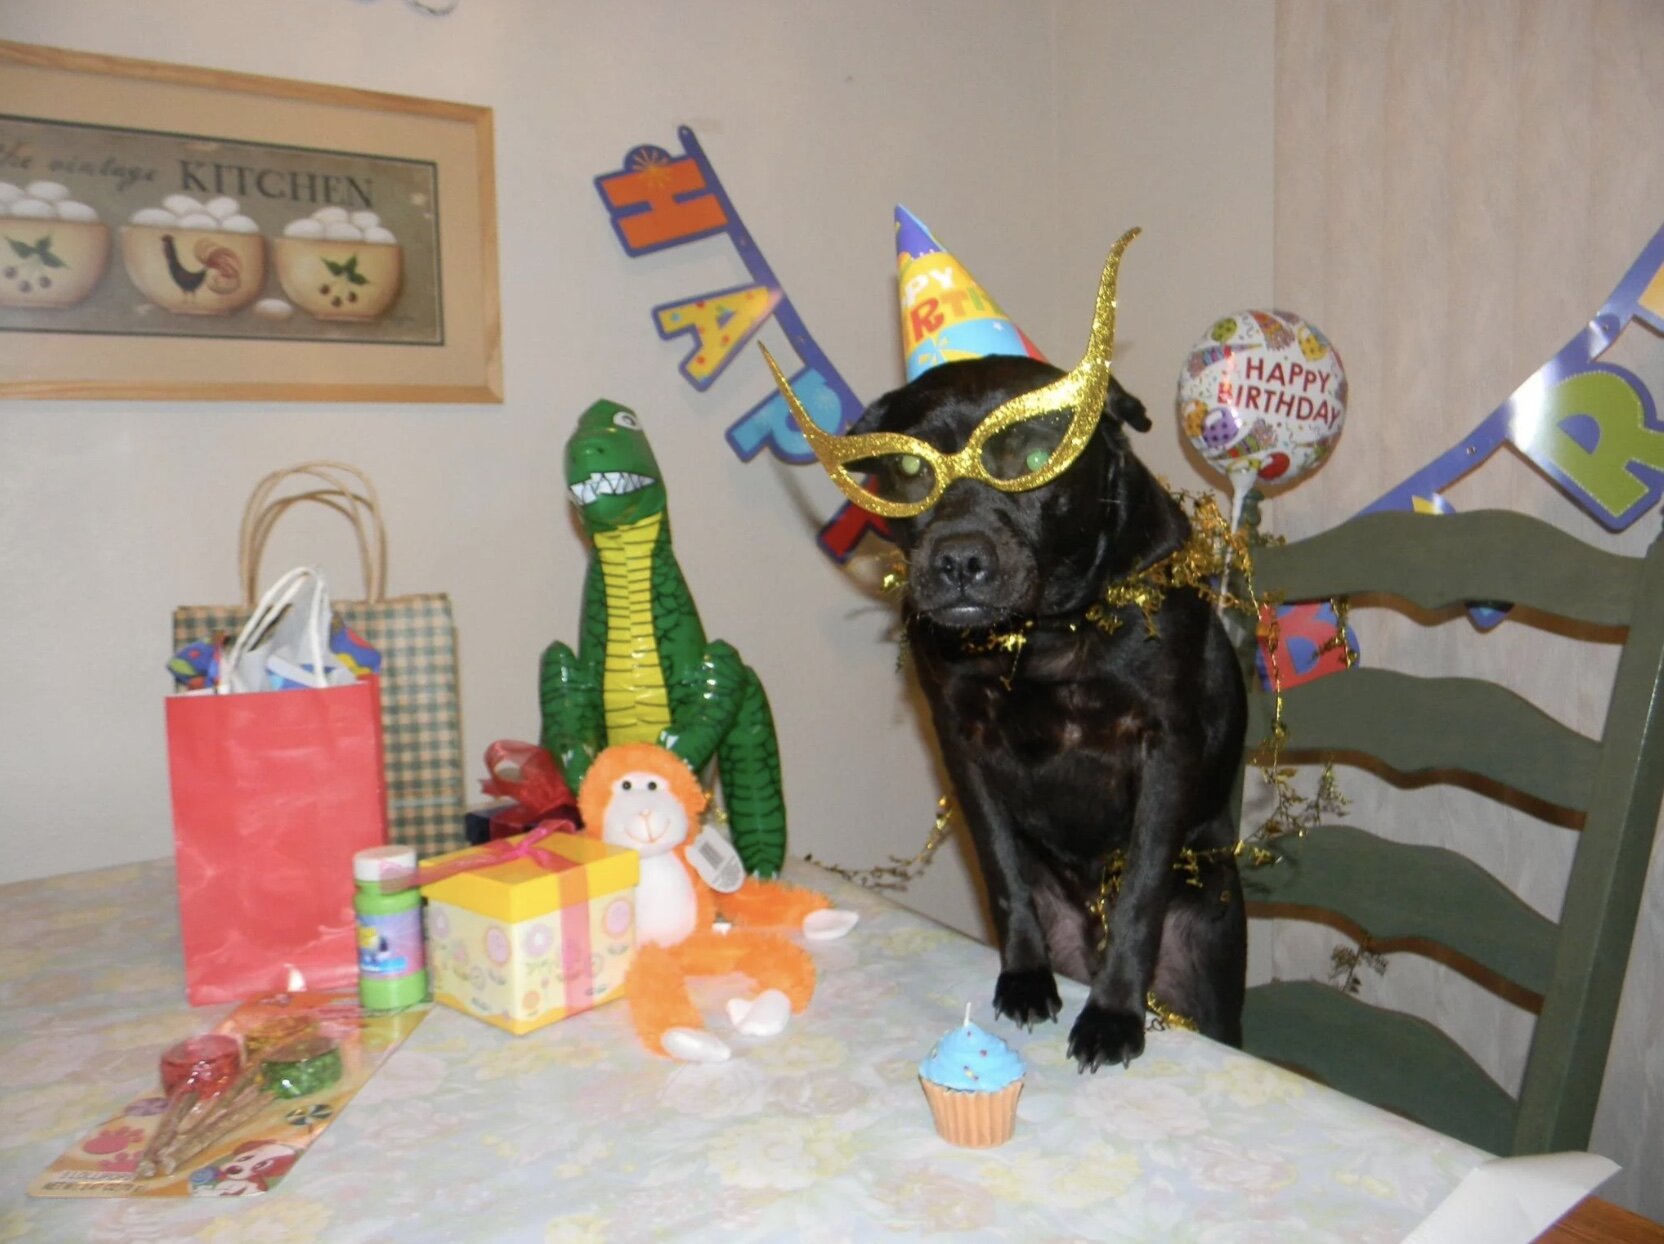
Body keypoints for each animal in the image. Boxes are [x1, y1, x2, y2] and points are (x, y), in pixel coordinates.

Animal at [847, 353, 1248, 1071]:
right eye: (911, 468)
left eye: (1036, 457)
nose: (958, 560)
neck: (1044, 637)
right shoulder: (961, 742)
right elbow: (1003, 871)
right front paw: (1026, 977)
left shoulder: (1167, 744)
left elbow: (1141, 890)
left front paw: (1113, 1016)